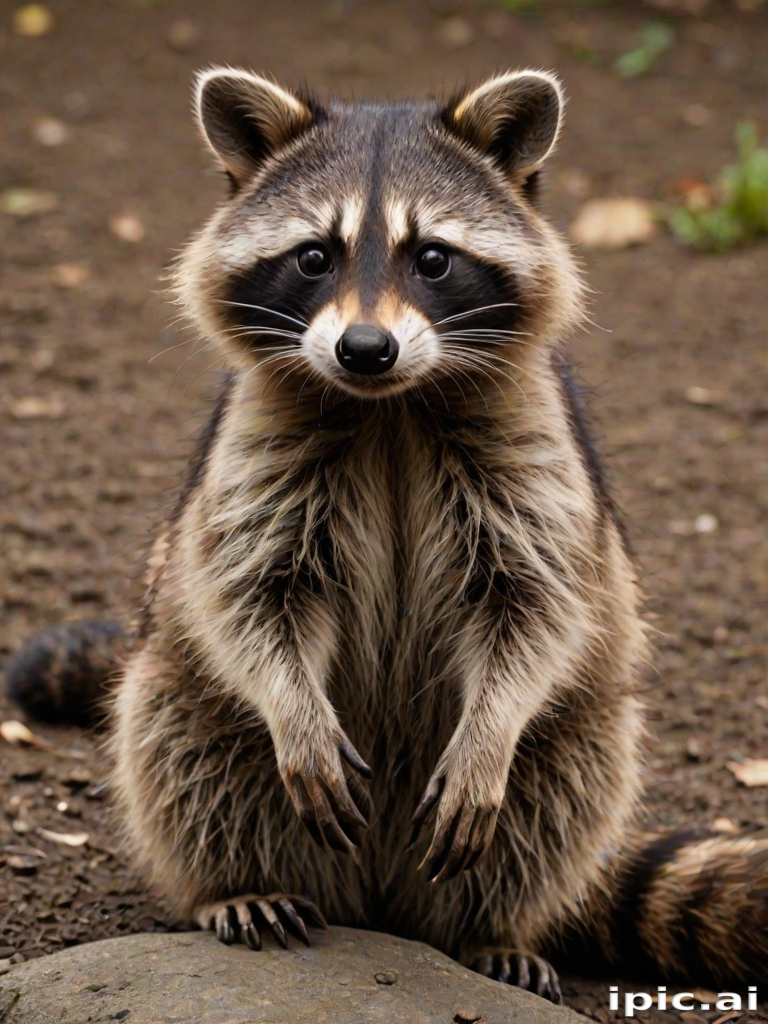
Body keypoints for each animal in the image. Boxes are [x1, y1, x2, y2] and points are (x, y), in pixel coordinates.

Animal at [7, 68, 768, 1003]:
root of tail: (378, 898)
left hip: (576, 740)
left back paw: (489, 928)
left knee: (566, 780)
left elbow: (538, 605)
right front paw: (293, 711)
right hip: (180, 694)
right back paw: (236, 883)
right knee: (179, 740)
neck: (389, 406)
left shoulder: (537, 458)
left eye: (432, 257)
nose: (364, 348)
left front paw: (490, 732)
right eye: (314, 256)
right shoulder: (256, 455)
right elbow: (252, 596)